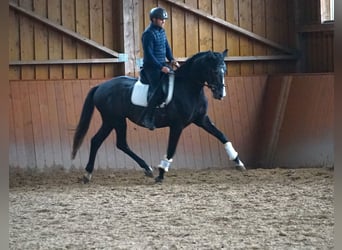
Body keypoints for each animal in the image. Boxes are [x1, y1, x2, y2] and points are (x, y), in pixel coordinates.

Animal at [71, 49, 246, 183]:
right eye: (214, 70)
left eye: (225, 70)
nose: (220, 94)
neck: (189, 87)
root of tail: (100, 86)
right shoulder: (177, 125)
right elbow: (171, 150)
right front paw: (161, 173)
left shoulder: (201, 119)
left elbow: (222, 136)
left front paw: (238, 161)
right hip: (116, 120)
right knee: (117, 143)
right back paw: (146, 168)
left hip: (110, 121)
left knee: (101, 141)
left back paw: (90, 174)